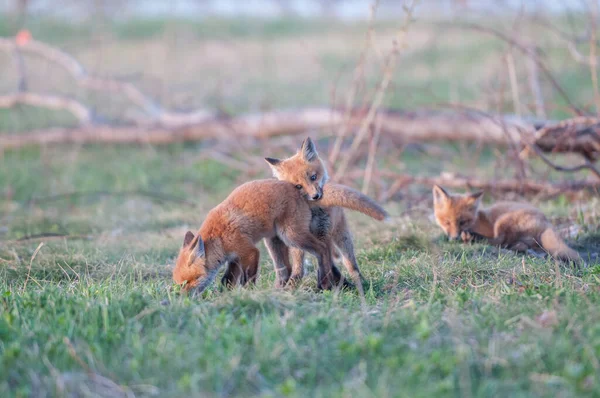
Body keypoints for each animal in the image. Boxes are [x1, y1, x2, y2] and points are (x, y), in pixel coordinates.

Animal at [173, 179, 390, 294]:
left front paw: (247, 293)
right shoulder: (234, 258)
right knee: (290, 267)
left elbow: (248, 278)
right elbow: (226, 280)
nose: (183, 298)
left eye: (187, 283)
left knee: (322, 249)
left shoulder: (249, 251)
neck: (218, 238)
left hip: (292, 236)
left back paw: (324, 282)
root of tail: (301, 191)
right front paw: (227, 294)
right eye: (178, 284)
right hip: (275, 240)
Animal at [264, 137, 390, 286]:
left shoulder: (323, 233)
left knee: (349, 262)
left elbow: (327, 262)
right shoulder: (297, 236)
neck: (312, 214)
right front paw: (294, 281)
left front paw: (327, 283)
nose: (315, 196)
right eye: (298, 186)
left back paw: (357, 280)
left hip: (341, 237)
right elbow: (299, 265)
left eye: (313, 177)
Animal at [432, 185, 580, 262]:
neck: (476, 221)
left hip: (503, 220)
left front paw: (467, 237)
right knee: (520, 245)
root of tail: (546, 222)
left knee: (499, 240)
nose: (454, 238)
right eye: (447, 222)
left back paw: (475, 239)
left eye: (462, 222)